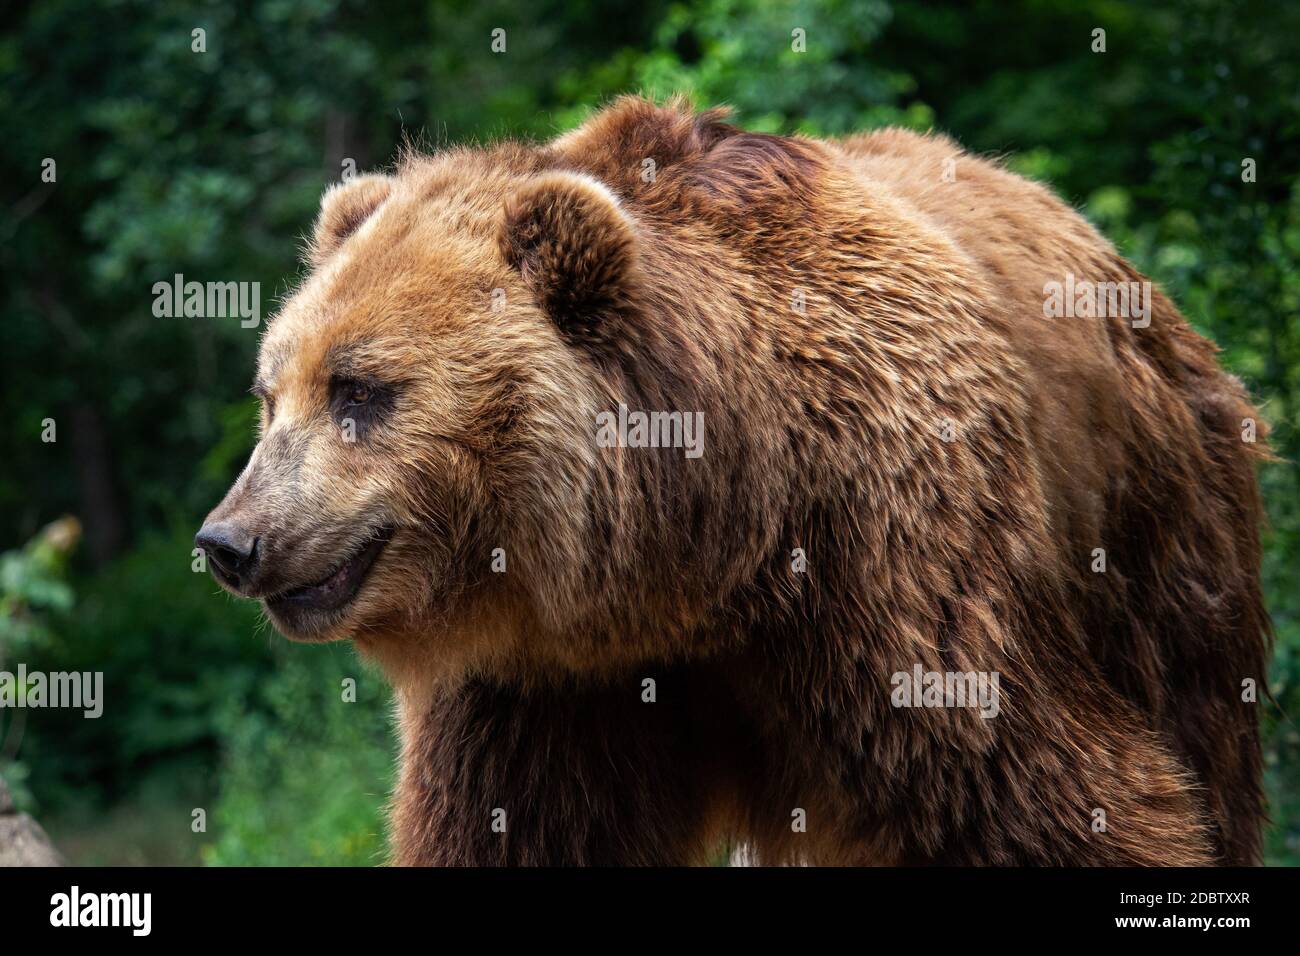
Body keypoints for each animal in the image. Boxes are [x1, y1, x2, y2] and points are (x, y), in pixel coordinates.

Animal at [197, 97, 1263, 868]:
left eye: (360, 389)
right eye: (270, 394)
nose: (230, 541)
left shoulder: (903, 573)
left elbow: (1051, 799)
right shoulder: (544, 691)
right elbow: (510, 832)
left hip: (1157, 540)